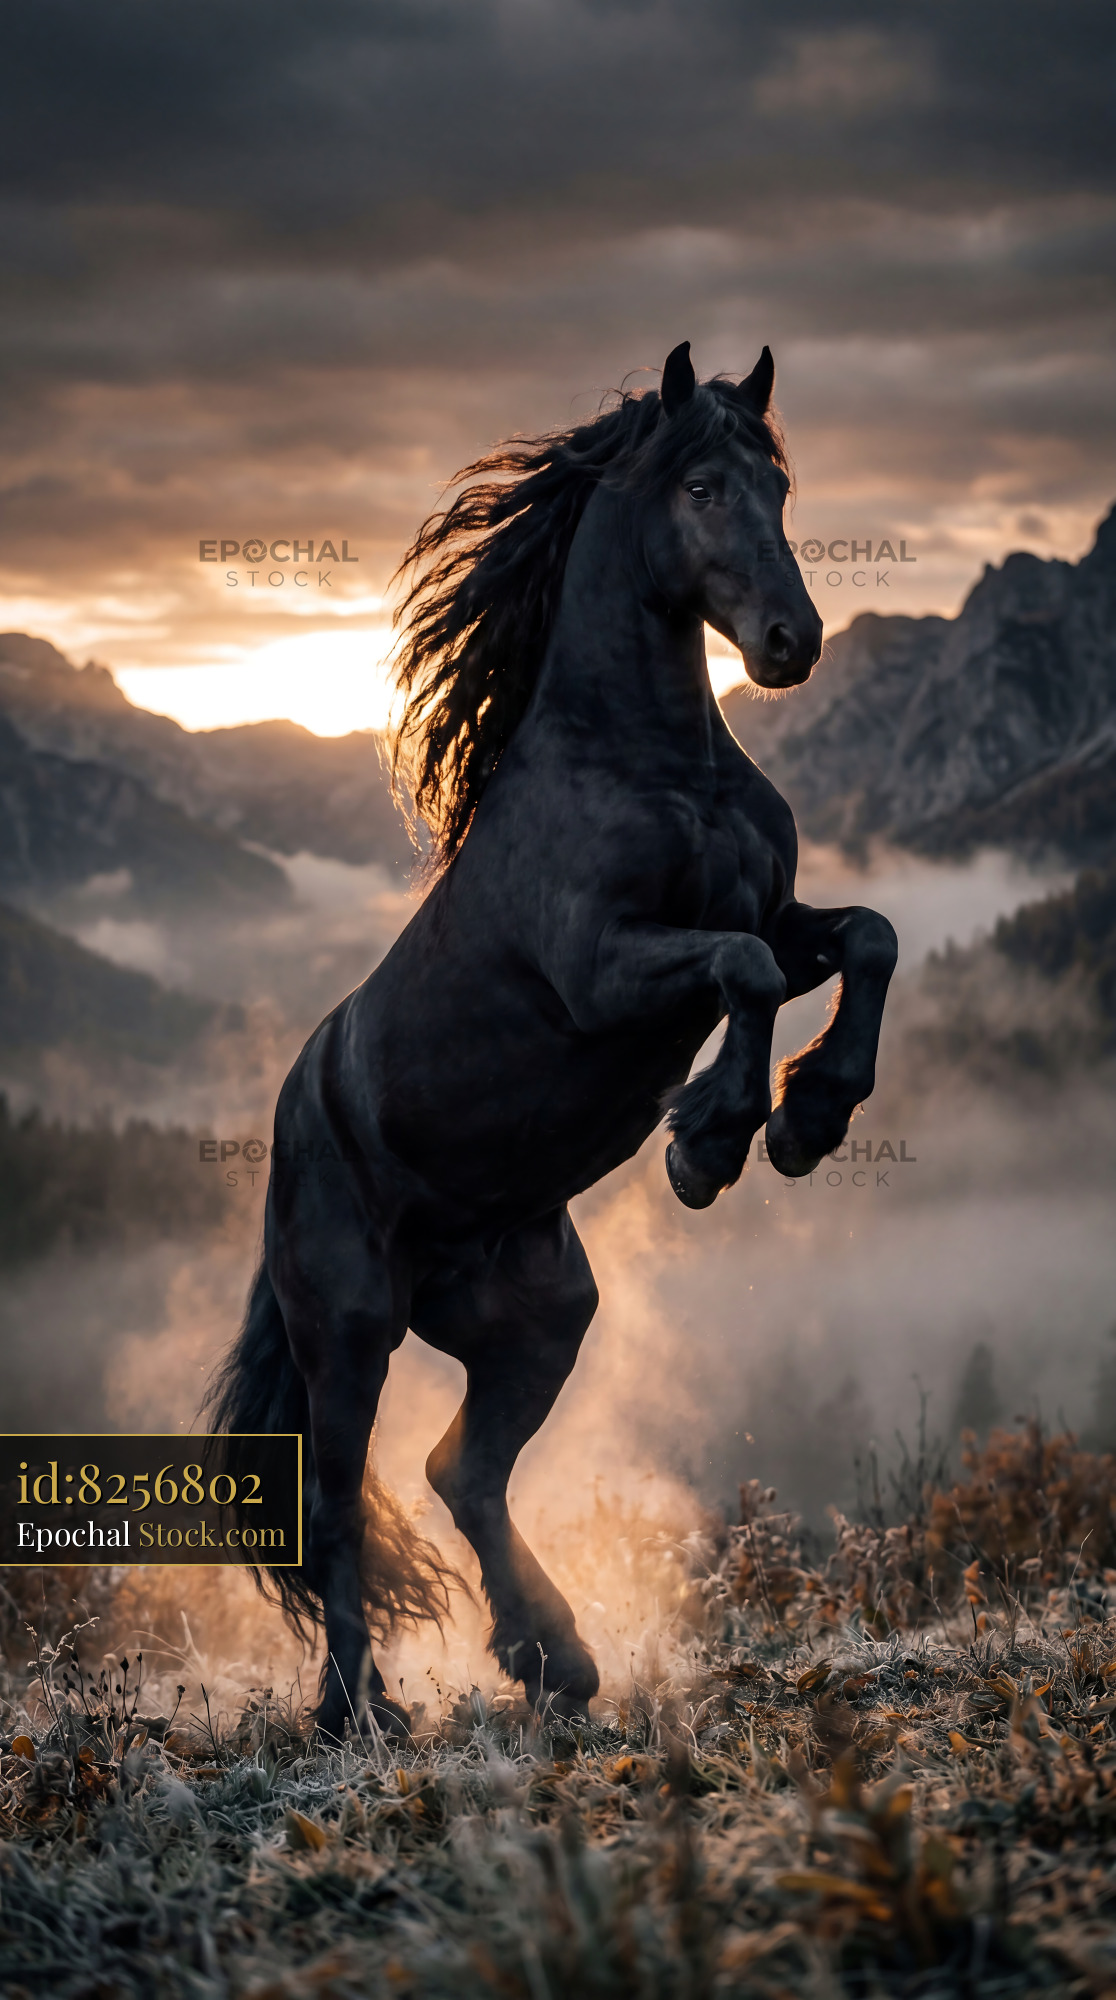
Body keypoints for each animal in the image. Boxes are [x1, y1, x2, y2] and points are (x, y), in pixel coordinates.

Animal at [209, 341, 898, 1740]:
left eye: (778, 484)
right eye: (701, 484)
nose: (791, 642)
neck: (653, 763)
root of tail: (296, 1118)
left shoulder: (776, 912)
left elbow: (865, 936)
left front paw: (813, 1114)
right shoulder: (604, 968)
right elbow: (745, 969)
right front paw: (712, 1139)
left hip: (539, 1318)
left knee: (459, 1467)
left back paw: (553, 1659)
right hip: (347, 1329)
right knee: (339, 1499)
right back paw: (360, 1710)